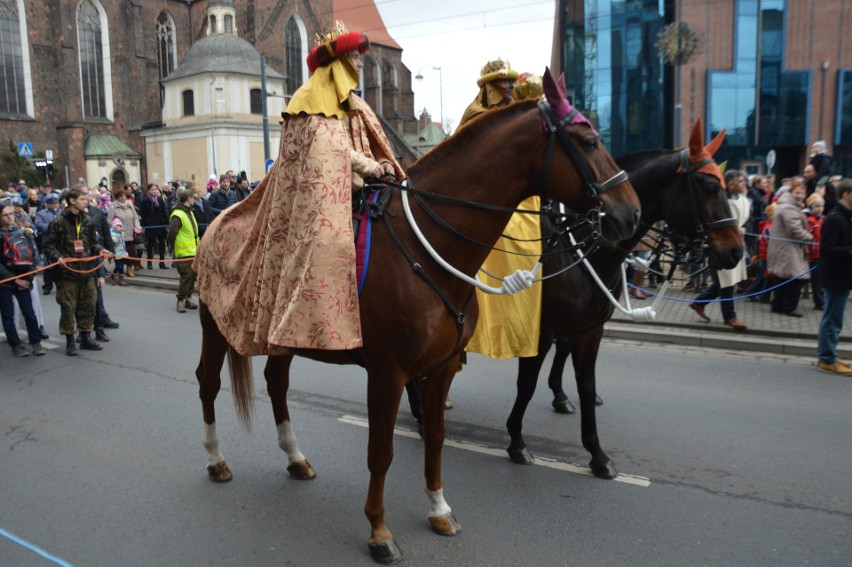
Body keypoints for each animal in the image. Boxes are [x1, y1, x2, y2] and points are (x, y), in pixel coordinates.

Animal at [190, 74, 636, 564]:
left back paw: (295, 457)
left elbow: (435, 436)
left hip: (282, 336)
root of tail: (217, 221)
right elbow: (380, 452)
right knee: (208, 382)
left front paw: (439, 509)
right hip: (214, 326)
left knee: (276, 383)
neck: (429, 247)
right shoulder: (387, 373)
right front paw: (379, 531)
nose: (629, 213)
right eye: (590, 142)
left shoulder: (441, 367)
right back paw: (215, 460)